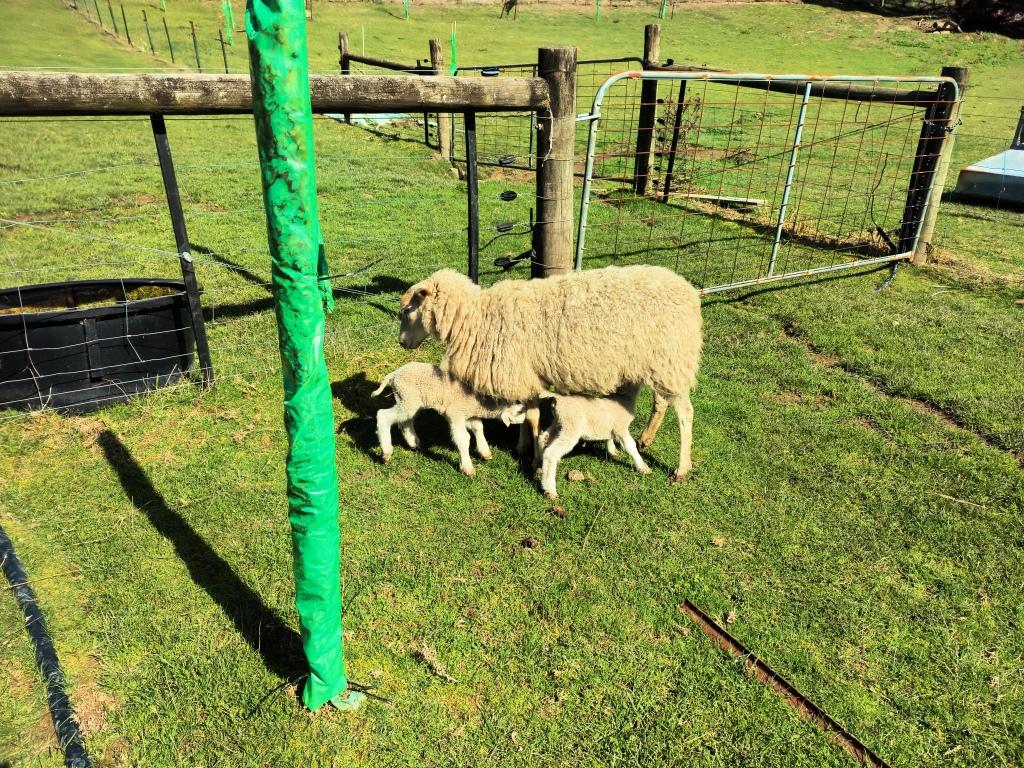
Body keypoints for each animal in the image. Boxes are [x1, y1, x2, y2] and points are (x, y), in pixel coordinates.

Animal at [372, 362, 524, 476]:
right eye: (519, 410)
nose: (525, 420)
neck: (480, 402)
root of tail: (394, 374)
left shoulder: (469, 415)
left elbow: (478, 428)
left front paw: (485, 452)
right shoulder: (455, 413)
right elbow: (463, 438)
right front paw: (467, 468)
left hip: (410, 400)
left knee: (406, 422)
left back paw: (414, 443)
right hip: (408, 397)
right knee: (383, 415)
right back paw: (386, 452)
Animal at [397, 265, 702, 482]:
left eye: (408, 309)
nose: (401, 343)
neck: (475, 318)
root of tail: (689, 291)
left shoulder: (523, 376)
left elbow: (531, 418)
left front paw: (532, 456)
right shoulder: (526, 377)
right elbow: (524, 415)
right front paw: (522, 446)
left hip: (672, 359)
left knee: (685, 413)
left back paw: (681, 468)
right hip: (658, 363)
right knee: (661, 402)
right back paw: (646, 438)